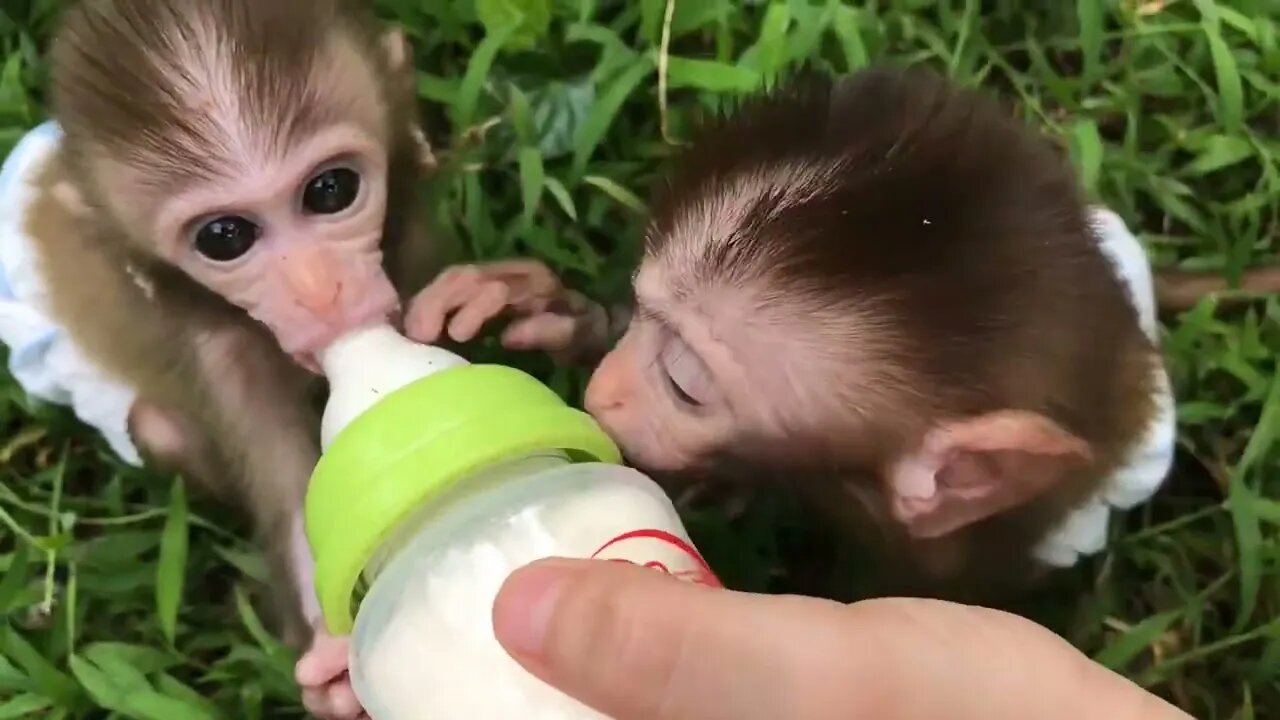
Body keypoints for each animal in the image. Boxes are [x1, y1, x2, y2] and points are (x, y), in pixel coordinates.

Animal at [0, 0, 440, 712]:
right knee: (159, 428)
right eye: (225, 237)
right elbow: (290, 498)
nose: (319, 291)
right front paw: (332, 663)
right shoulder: (218, 354)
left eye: (331, 190)